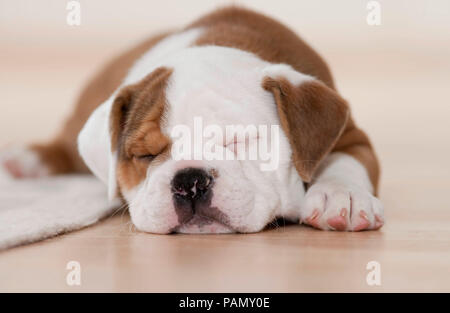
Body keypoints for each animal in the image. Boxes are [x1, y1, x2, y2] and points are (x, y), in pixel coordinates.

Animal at [0, 6, 384, 233]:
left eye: (240, 140)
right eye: (145, 155)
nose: (189, 181)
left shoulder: (350, 134)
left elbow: (346, 160)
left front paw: (341, 196)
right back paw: (26, 160)